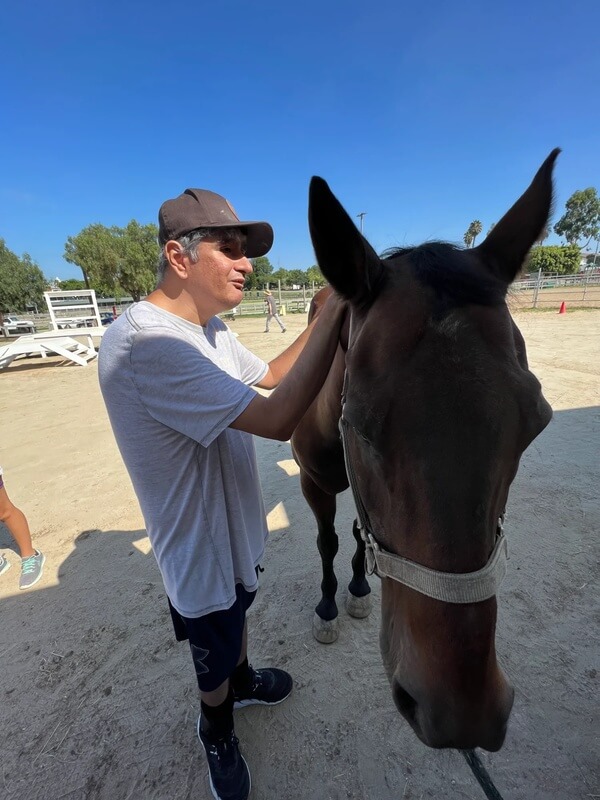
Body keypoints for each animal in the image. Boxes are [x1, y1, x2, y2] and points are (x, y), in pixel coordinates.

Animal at [291, 150, 558, 752]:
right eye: (358, 424)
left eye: (536, 423)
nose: (463, 713)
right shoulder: (314, 485)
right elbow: (327, 540)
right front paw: (327, 606)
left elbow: (360, 540)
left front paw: (358, 588)